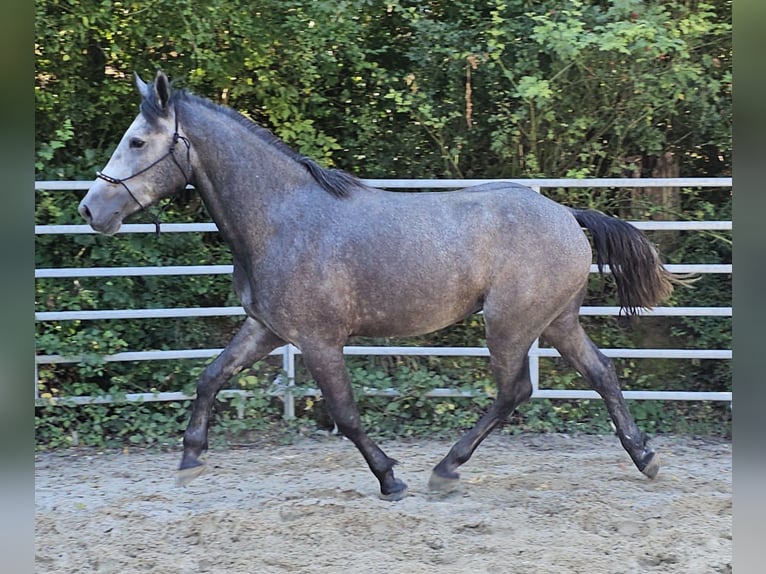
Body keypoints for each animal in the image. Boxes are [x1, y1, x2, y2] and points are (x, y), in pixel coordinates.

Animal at [79, 72, 688, 502]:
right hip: (556, 322)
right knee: (602, 373)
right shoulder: (267, 330)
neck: (281, 218)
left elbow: (345, 413)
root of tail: (567, 215)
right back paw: (645, 457)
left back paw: (446, 470)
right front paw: (189, 461)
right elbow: (209, 377)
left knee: (515, 392)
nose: (90, 210)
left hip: (509, 325)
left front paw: (390, 478)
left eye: (138, 142)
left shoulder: (319, 341)